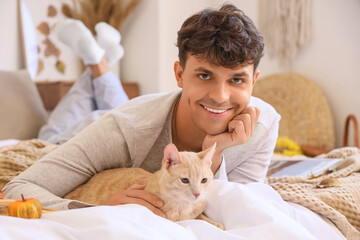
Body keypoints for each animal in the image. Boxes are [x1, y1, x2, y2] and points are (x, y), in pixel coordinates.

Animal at [64, 142, 222, 229]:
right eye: (184, 180)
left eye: (203, 180)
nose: (197, 194)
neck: (180, 207)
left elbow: (200, 217)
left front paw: (215, 223)